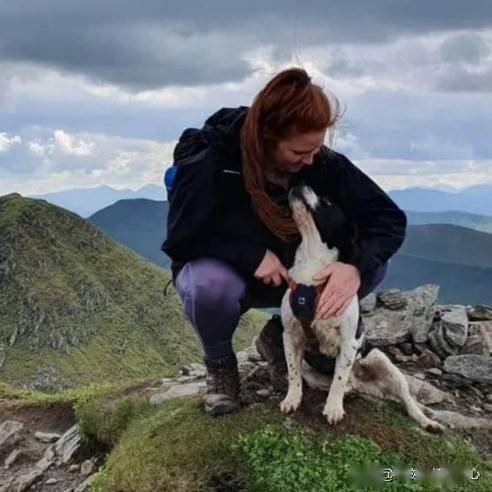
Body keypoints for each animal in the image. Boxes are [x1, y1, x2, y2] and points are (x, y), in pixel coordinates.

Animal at [278, 183, 444, 432]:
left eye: (328, 201)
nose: (298, 183)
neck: (312, 268)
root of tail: (361, 382)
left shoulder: (349, 340)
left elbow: (338, 379)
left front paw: (333, 409)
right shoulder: (290, 335)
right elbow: (293, 373)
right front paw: (292, 399)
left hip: (384, 364)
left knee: (407, 400)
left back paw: (426, 421)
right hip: (314, 373)